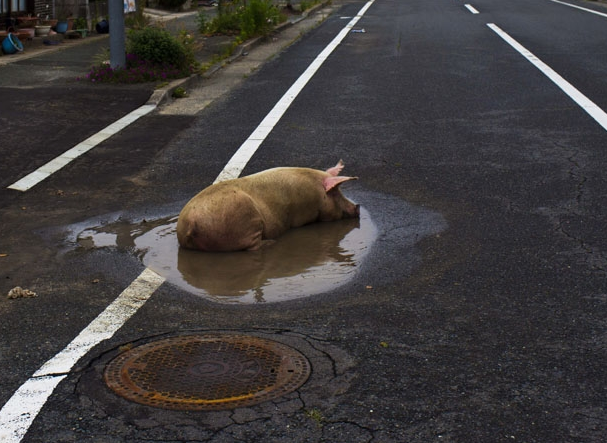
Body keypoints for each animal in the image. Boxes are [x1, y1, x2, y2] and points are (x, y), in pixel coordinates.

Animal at [176, 160, 358, 251]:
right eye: (336, 192)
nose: (357, 207)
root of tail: (190, 224)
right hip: (246, 222)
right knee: (252, 247)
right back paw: (271, 243)